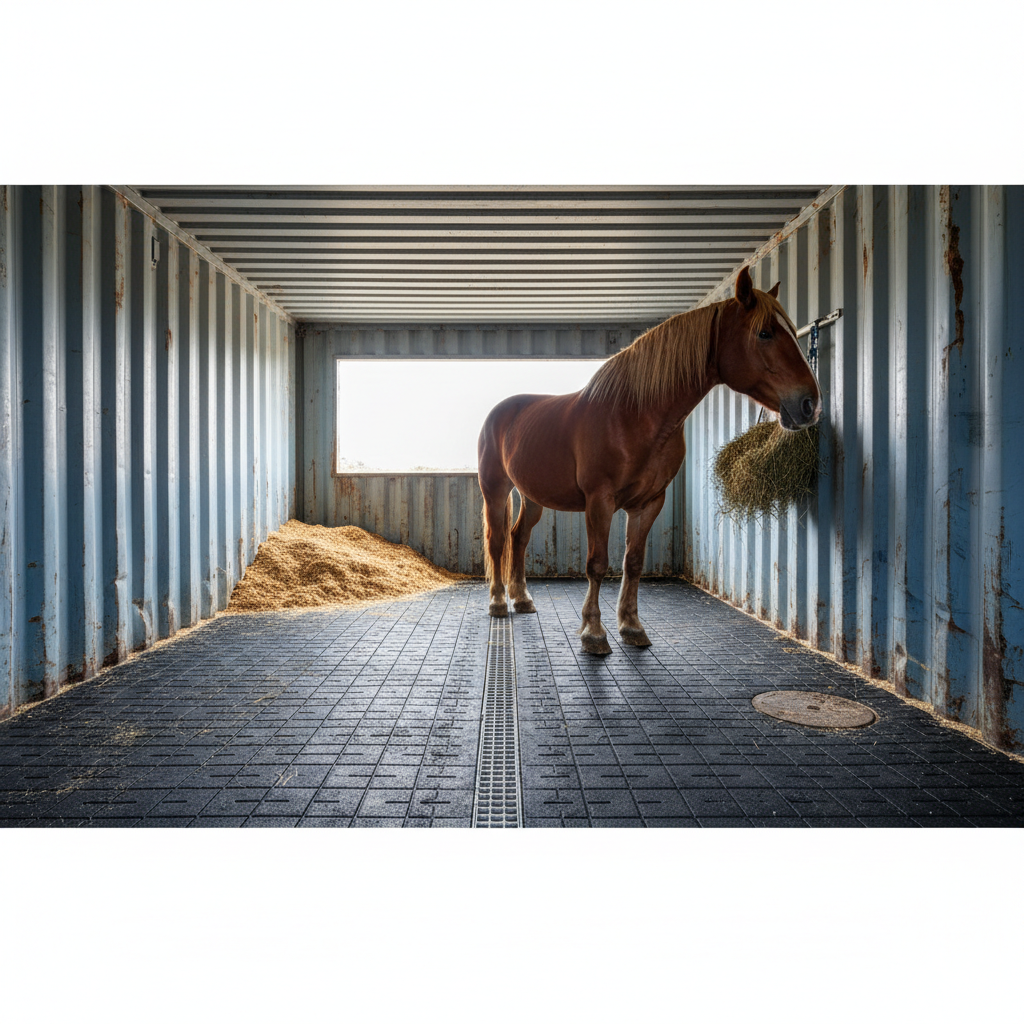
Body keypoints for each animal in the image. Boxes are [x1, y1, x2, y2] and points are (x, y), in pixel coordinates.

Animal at [476, 266, 822, 656]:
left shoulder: (649, 503)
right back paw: (498, 603)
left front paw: (631, 626)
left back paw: (522, 599)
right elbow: (597, 565)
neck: (634, 416)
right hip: (495, 489)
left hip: (531, 495)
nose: (809, 404)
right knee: (498, 541)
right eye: (765, 333)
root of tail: (499, 412)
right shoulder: (599, 501)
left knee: (519, 538)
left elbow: (634, 563)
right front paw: (593, 632)